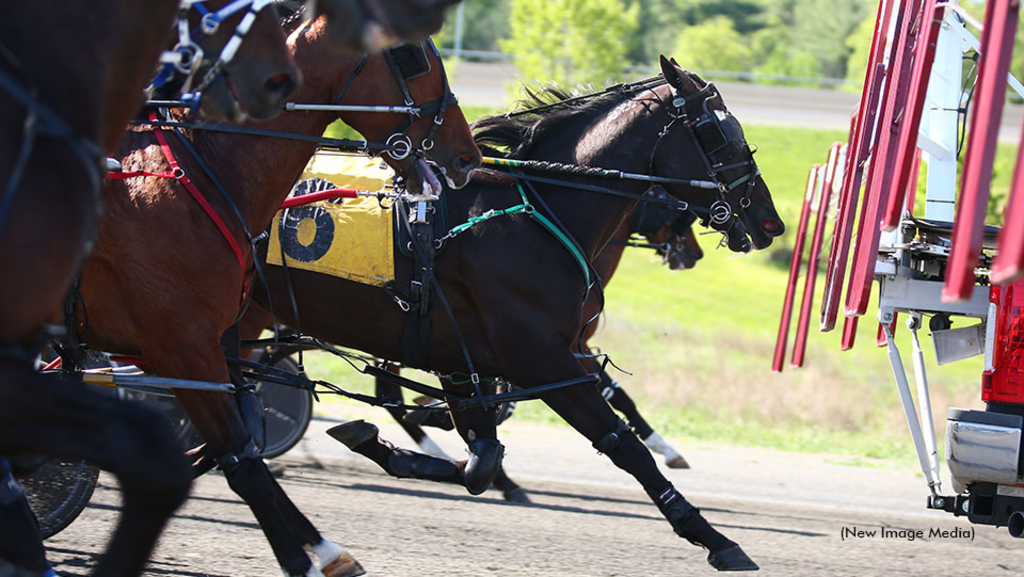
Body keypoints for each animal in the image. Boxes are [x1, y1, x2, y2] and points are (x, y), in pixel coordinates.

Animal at [75, 18, 483, 577]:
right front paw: (306, 558)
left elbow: (241, 443)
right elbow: (242, 462)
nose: (468, 155)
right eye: (412, 54)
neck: (199, 173)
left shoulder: (195, 349)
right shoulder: (180, 346)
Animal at [256, 56, 782, 569]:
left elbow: (481, 459)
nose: (769, 222)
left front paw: (390, 443)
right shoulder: (542, 357)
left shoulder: (472, 355)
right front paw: (714, 538)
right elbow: (620, 439)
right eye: (719, 133)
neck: (536, 216)